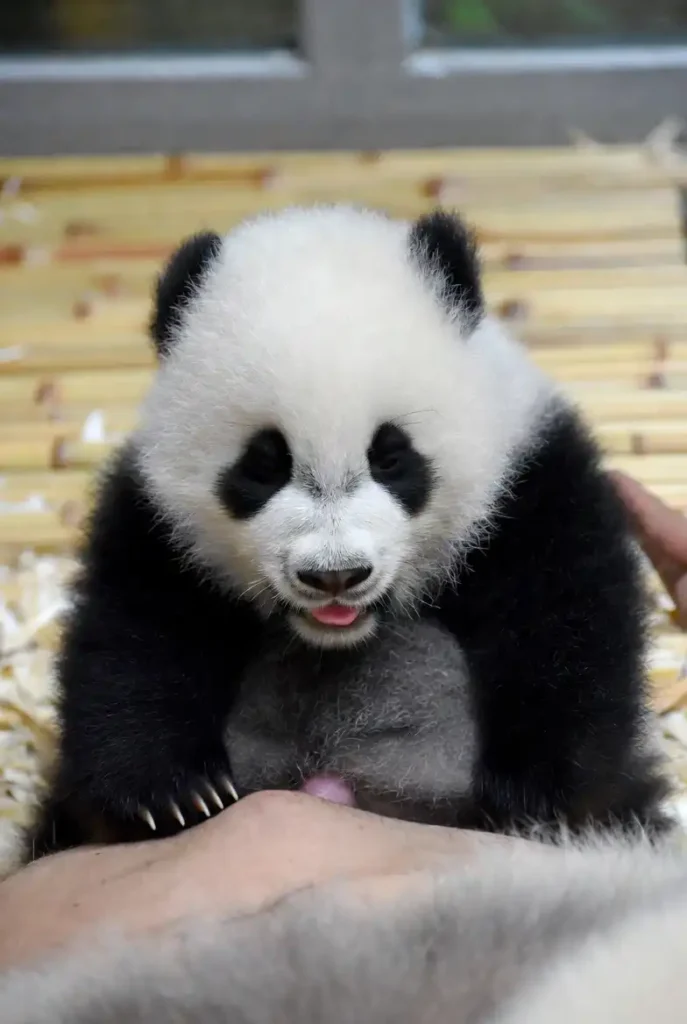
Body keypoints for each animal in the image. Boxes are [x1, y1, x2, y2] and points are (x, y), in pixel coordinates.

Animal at [27, 204, 669, 858]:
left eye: (391, 456)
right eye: (264, 464)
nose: (334, 576)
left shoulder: (531, 478)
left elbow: (564, 625)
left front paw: (533, 794)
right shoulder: (156, 519)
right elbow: (135, 635)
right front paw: (173, 791)